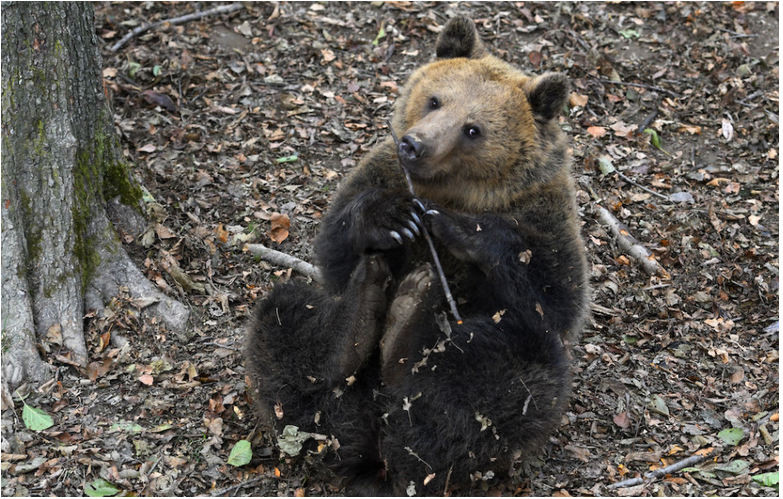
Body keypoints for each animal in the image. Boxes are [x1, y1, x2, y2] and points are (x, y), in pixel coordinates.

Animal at [245, 14, 588, 496]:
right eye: (435, 99)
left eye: (473, 128)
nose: (415, 144)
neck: (452, 189)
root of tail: (378, 443)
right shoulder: (379, 172)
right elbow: (336, 246)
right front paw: (391, 217)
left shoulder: (545, 215)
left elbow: (553, 293)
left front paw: (458, 228)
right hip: (328, 387)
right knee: (285, 324)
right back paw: (359, 321)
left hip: (481, 380)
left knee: (506, 374)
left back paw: (406, 334)